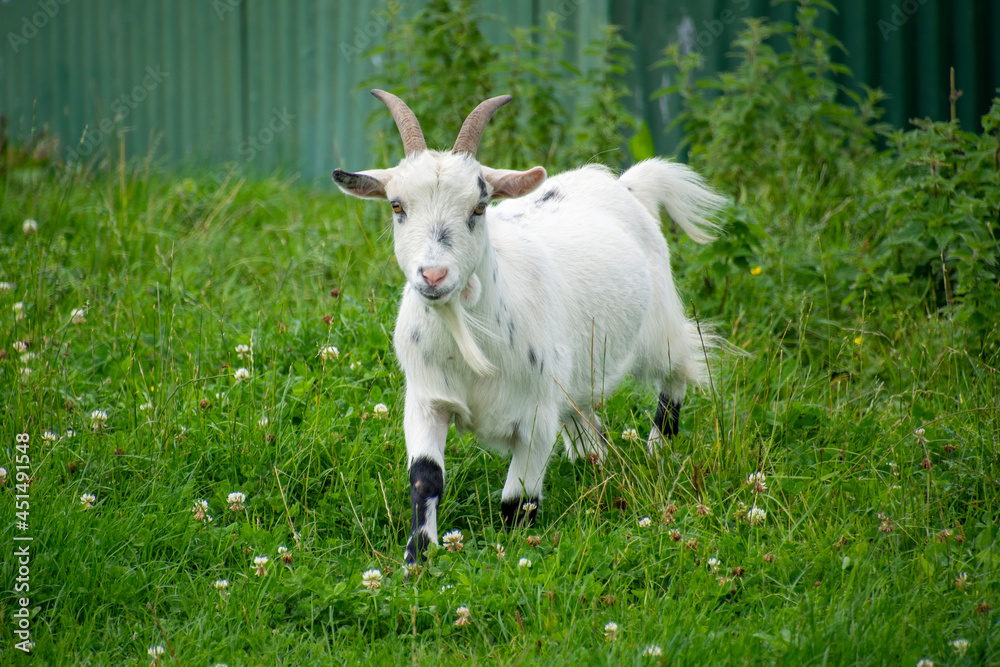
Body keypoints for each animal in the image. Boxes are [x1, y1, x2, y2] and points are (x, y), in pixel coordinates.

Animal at [333, 90, 725, 564]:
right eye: (397, 206)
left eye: (479, 206)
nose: (433, 275)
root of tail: (627, 186)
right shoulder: (427, 400)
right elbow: (426, 478)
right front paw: (417, 559)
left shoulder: (537, 418)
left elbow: (517, 502)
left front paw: (510, 557)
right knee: (588, 422)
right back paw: (595, 463)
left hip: (658, 329)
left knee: (679, 369)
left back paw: (657, 449)